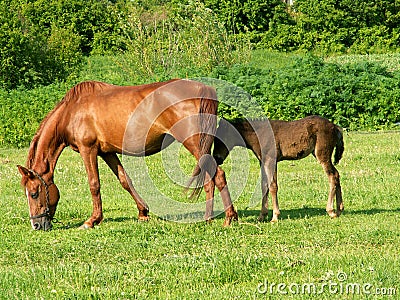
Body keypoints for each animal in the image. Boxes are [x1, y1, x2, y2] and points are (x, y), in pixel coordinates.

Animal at [17, 79, 238, 230]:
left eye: (34, 193)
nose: (36, 225)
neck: (72, 111)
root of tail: (204, 89)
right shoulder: (107, 153)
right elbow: (125, 180)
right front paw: (143, 212)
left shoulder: (88, 150)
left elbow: (94, 184)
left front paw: (92, 220)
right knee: (209, 179)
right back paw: (208, 218)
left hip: (193, 143)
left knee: (218, 175)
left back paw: (229, 217)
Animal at [212, 116, 344, 221]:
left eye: (220, 140)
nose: (216, 158)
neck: (259, 134)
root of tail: (335, 126)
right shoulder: (263, 161)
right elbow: (264, 185)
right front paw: (262, 216)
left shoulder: (271, 160)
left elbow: (273, 186)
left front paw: (275, 216)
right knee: (337, 174)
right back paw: (339, 209)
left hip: (322, 155)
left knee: (332, 176)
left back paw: (331, 211)